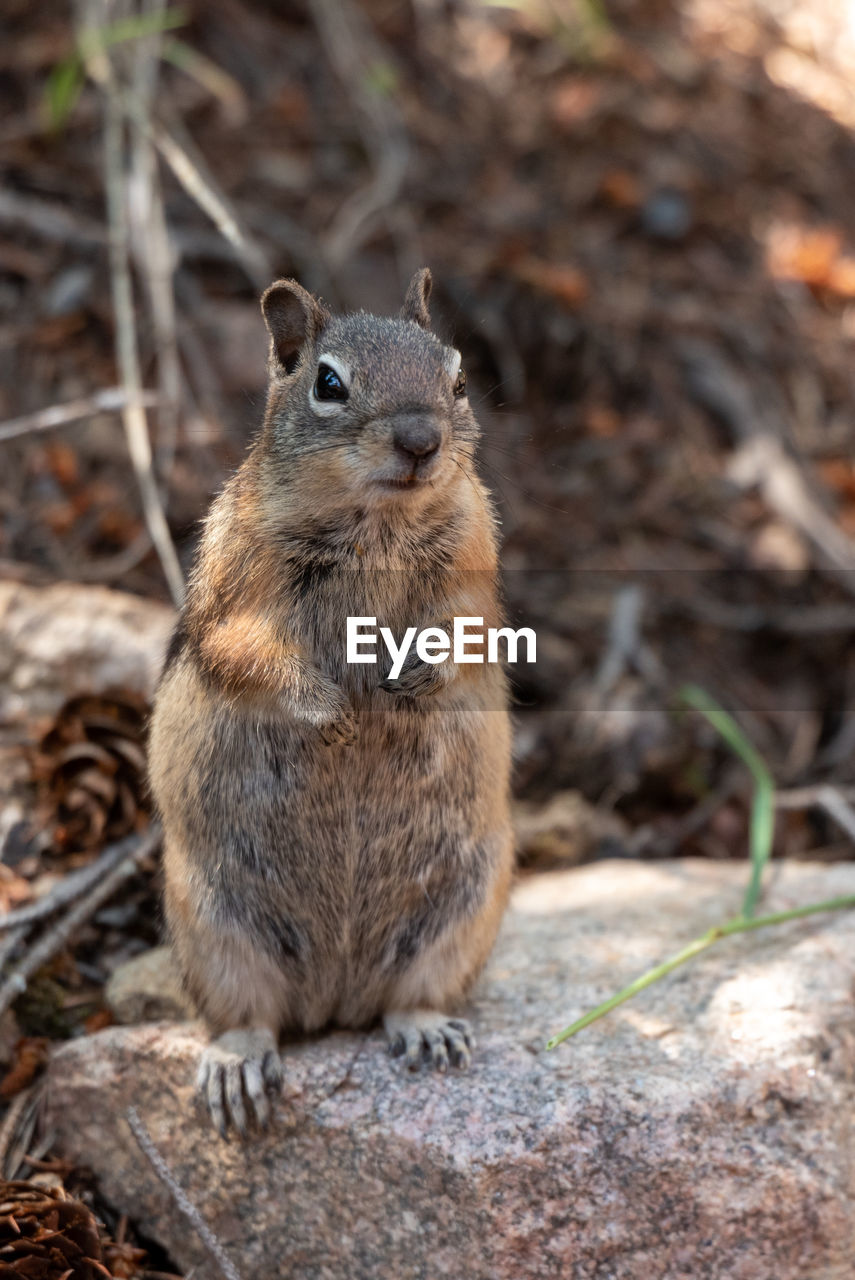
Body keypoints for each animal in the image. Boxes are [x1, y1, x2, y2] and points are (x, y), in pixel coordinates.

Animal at [147, 272, 511, 1141]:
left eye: (456, 380)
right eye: (329, 384)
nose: (419, 441)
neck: (377, 522)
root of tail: (334, 1001)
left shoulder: (474, 565)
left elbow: (472, 632)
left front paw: (411, 680)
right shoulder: (237, 588)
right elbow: (247, 650)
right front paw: (327, 710)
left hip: (462, 913)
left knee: (405, 1000)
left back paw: (425, 1028)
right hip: (213, 928)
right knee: (247, 1017)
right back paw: (238, 1063)